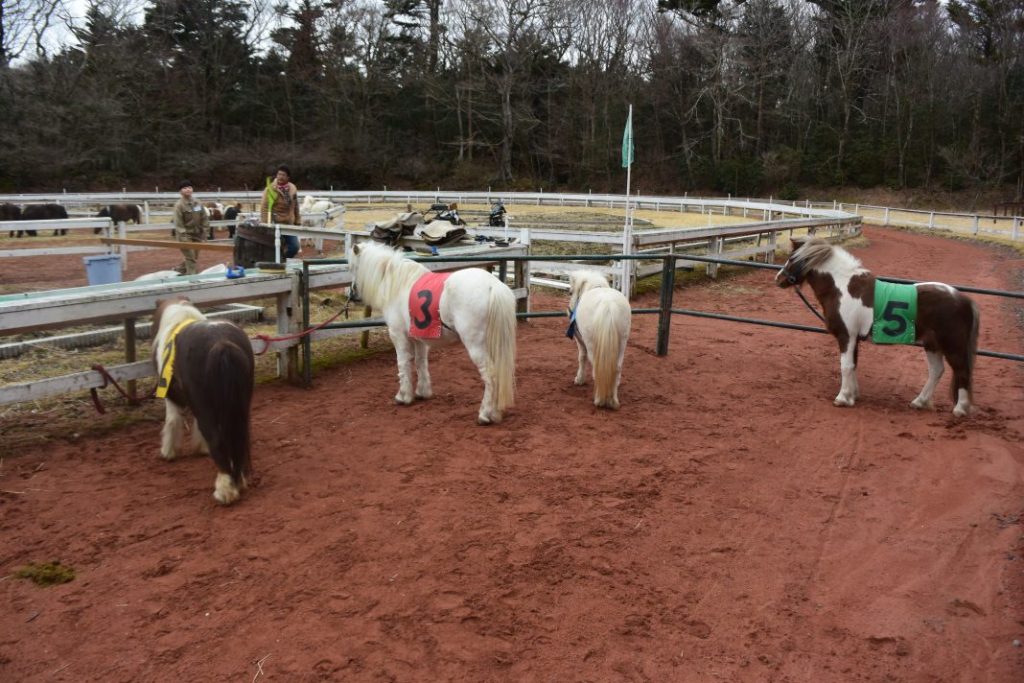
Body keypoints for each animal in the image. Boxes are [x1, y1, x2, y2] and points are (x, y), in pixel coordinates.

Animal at [346, 239, 520, 421]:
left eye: (352, 267)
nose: (352, 294)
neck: (397, 282)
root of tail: (493, 286)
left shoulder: (398, 335)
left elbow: (403, 364)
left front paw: (403, 396)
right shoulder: (419, 338)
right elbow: (420, 362)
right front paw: (422, 392)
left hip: (476, 345)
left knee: (490, 375)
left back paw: (485, 414)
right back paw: (495, 412)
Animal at [569, 270, 630, 409]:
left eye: (571, 292)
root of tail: (608, 305)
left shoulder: (581, 341)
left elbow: (582, 357)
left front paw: (579, 379)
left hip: (592, 344)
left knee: (597, 369)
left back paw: (599, 400)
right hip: (622, 343)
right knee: (617, 368)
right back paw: (613, 400)